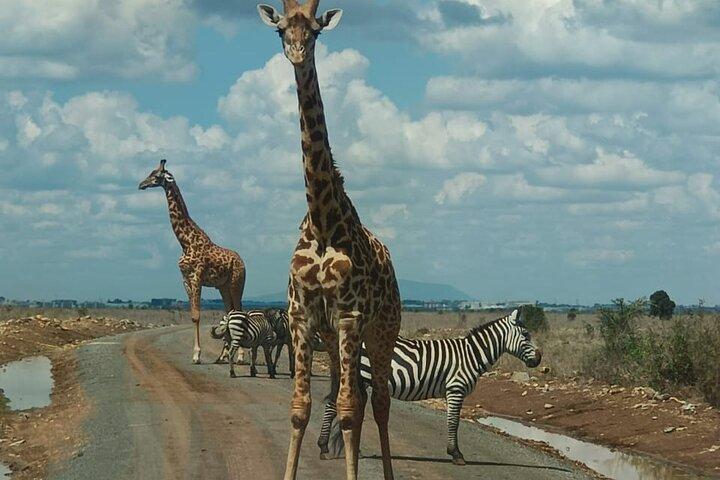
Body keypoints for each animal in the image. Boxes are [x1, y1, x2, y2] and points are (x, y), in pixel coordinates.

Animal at [139, 159, 246, 364]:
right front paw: (196, 354)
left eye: (156, 175)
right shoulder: (185, 280)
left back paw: (240, 356)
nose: (141, 184)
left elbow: (197, 316)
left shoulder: (197, 277)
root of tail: (242, 261)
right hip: (223, 286)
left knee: (238, 311)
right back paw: (223, 355)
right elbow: (192, 316)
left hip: (237, 283)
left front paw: (197, 355)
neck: (185, 242)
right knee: (229, 312)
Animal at [258, 2, 401, 479]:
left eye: (317, 32)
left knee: (377, 401)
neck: (322, 223)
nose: (297, 53)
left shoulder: (350, 317)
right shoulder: (303, 316)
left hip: (382, 330)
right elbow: (300, 406)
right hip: (337, 338)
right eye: (281, 29)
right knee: (349, 391)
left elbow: (349, 409)